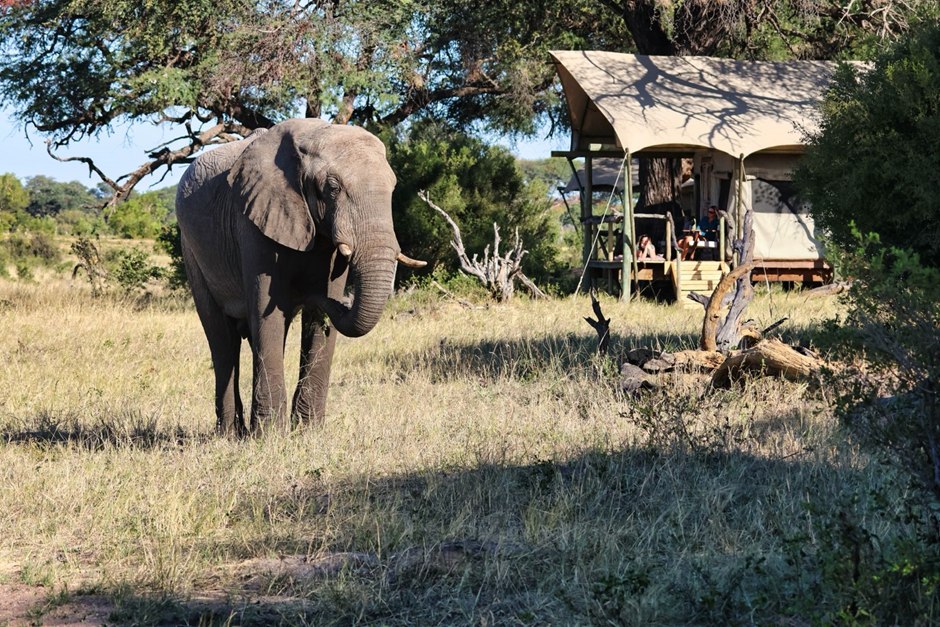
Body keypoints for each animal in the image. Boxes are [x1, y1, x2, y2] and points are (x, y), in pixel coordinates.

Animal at [175, 118, 422, 436]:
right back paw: (230, 433)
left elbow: (312, 322)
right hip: (192, 251)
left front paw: (308, 431)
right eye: (332, 187)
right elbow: (266, 312)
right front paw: (270, 437)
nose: (312, 294)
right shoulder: (253, 219)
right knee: (222, 339)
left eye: (393, 186)